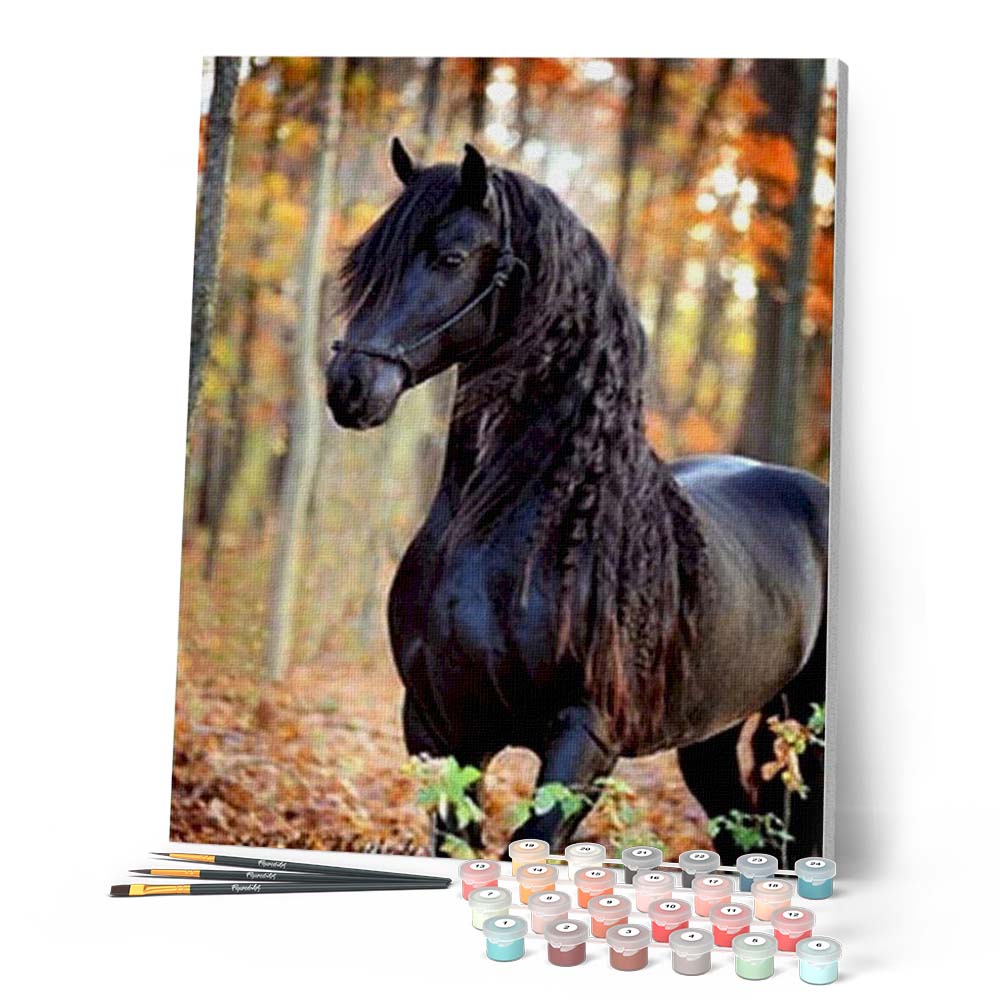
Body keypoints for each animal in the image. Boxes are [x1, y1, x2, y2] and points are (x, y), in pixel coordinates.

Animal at [325, 139, 829, 862]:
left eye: (451, 257)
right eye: (367, 260)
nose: (349, 385)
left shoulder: (585, 739)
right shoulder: (437, 729)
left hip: (811, 728)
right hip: (708, 737)